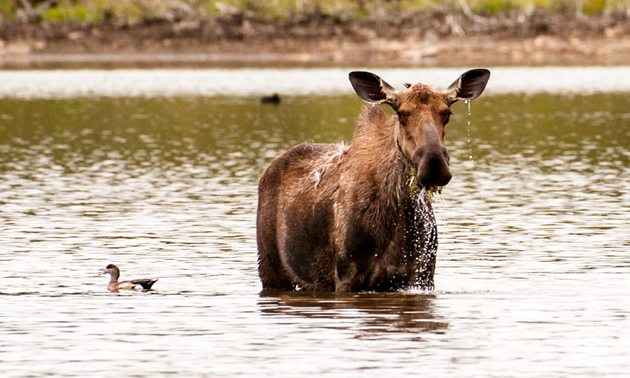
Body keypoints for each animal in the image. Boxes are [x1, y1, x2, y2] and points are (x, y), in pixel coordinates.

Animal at [258, 68, 494, 292]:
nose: (433, 165)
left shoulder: (422, 277)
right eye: (401, 114)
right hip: (270, 270)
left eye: (447, 113)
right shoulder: (347, 277)